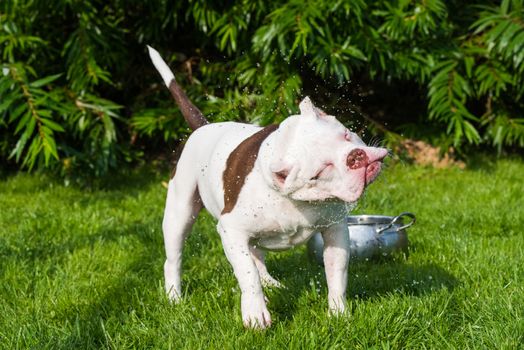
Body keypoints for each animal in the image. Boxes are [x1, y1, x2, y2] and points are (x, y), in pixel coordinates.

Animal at [146, 45, 384, 328]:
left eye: (347, 135)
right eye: (321, 170)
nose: (356, 156)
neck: (293, 198)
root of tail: (202, 127)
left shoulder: (335, 229)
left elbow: (336, 271)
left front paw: (338, 312)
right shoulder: (231, 230)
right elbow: (247, 273)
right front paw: (255, 312)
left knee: (255, 254)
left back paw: (271, 283)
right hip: (179, 213)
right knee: (174, 259)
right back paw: (174, 297)